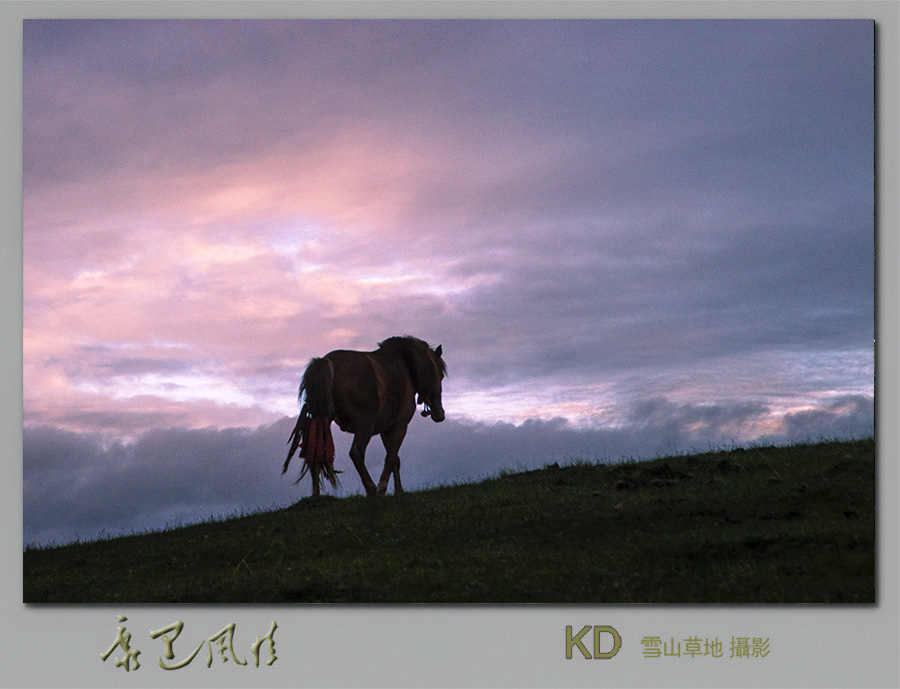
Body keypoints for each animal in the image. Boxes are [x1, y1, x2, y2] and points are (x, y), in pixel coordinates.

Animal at [284, 334, 444, 492]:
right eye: (441, 375)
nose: (440, 414)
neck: (406, 364)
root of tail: (327, 362)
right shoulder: (400, 425)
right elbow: (391, 457)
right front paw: (383, 487)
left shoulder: (386, 429)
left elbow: (395, 459)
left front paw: (399, 491)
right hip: (365, 425)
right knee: (356, 452)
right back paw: (371, 488)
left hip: (321, 422)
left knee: (316, 454)